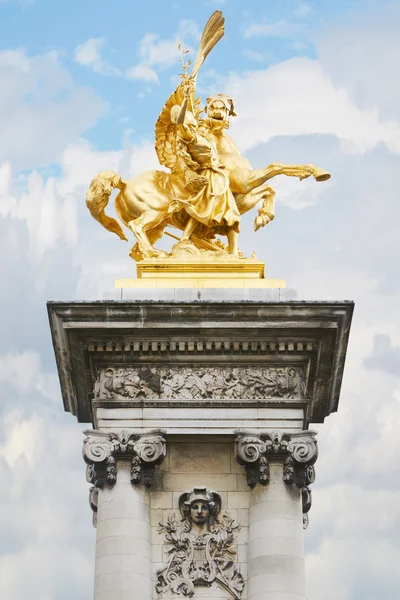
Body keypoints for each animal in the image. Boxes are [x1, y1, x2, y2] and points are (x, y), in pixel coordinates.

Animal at [86, 11, 330, 260]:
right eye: (213, 102)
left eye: (226, 102)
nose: (219, 108)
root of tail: (124, 184)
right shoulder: (244, 183)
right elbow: (276, 167)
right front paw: (316, 172)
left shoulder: (243, 197)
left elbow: (268, 189)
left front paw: (261, 219)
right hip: (156, 212)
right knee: (137, 228)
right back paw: (163, 253)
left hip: (159, 225)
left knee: (136, 248)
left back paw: (165, 252)